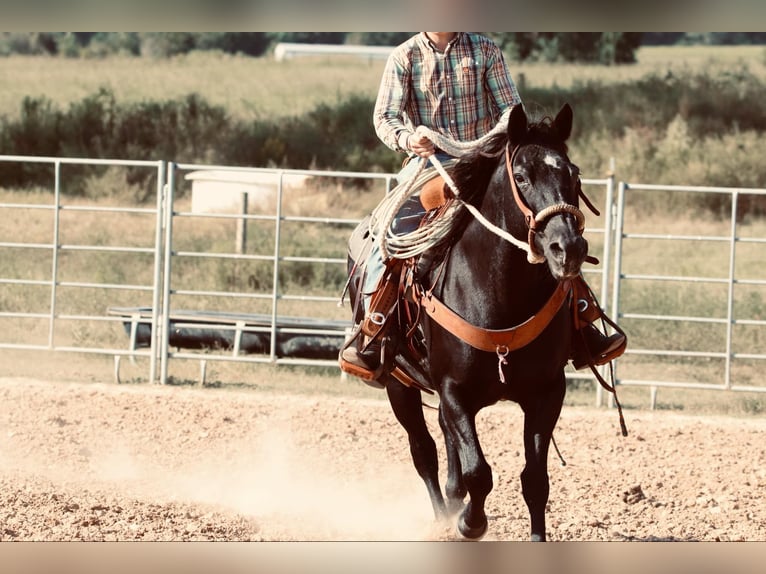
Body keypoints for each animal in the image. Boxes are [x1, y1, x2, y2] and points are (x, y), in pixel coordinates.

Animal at [348, 104, 592, 544]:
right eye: (522, 176)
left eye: (574, 174)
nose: (568, 248)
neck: (500, 295)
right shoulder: (454, 391)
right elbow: (479, 472)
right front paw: (469, 523)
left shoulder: (547, 392)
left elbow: (535, 479)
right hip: (397, 383)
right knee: (423, 451)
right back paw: (445, 519)